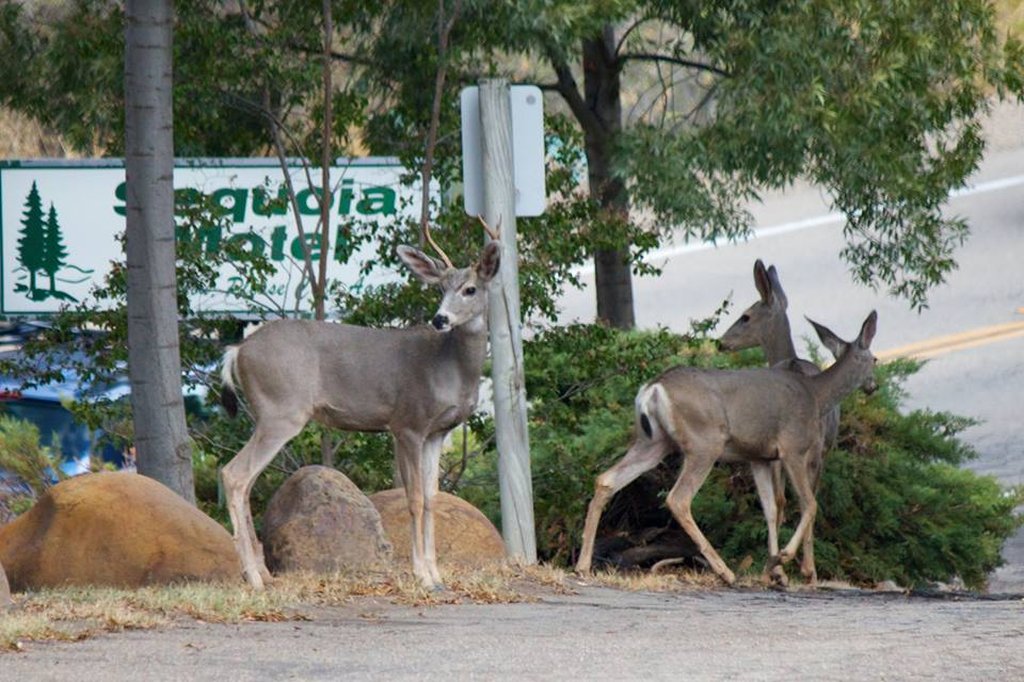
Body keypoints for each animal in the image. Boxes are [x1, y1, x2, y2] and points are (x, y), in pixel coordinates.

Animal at [220, 225, 499, 585]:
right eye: (440, 288)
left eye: (470, 289)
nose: (440, 318)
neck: (450, 367)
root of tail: (237, 350)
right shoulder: (407, 423)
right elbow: (414, 497)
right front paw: (422, 575)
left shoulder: (437, 432)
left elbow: (432, 497)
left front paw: (437, 575)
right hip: (280, 411)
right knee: (234, 474)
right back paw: (254, 579)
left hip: (266, 415)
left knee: (247, 481)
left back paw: (264, 574)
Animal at [577, 311, 880, 581]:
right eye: (875, 359)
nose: (874, 386)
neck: (816, 395)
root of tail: (653, 388)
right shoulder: (793, 447)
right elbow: (810, 504)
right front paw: (785, 559)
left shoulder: (759, 457)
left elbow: (771, 509)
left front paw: (773, 568)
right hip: (704, 442)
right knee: (678, 498)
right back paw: (725, 571)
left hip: (653, 442)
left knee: (606, 479)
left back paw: (582, 565)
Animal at [716, 260, 843, 577]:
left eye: (745, 316)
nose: (720, 343)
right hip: (812, 447)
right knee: (803, 498)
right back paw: (803, 567)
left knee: (793, 499)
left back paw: (790, 566)